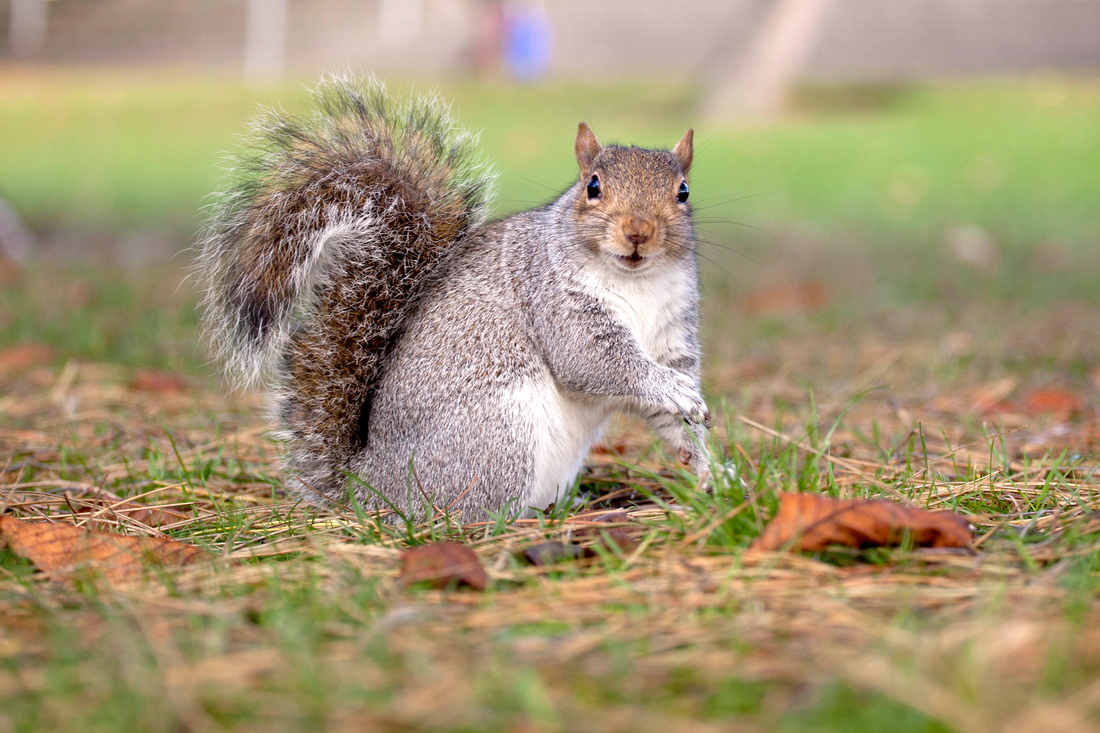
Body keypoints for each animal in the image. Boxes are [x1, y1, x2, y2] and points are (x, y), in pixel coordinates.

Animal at [198, 75, 712, 519]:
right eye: (593, 187)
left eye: (684, 192)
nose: (638, 232)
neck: (636, 281)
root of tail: (368, 486)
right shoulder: (554, 298)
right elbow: (596, 362)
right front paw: (674, 391)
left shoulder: (672, 335)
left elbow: (670, 414)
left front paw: (710, 469)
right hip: (498, 434)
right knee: (467, 510)